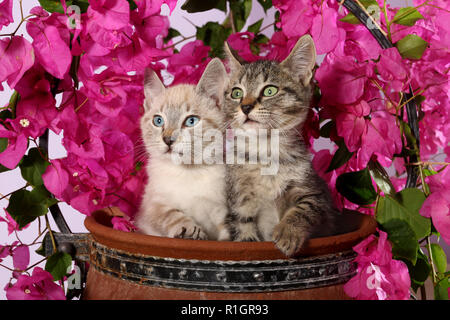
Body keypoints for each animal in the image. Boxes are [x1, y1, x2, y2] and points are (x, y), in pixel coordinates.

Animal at [135, 58, 230, 241]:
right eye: (158, 121)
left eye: (191, 121)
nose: (168, 139)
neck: (187, 172)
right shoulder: (150, 207)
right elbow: (170, 214)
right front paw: (189, 229)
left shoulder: (224, 210)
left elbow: (229, 236)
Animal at [223, 35, 340, 256]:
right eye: (236, 93)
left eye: (270, 90)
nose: (245, 106)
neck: (265, 151)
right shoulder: (239, 199)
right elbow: (244, 230)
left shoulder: (315, 191)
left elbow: (305, 208)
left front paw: (288, 232)